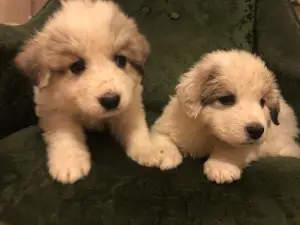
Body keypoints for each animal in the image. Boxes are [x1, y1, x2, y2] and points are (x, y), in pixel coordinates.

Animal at [14, 0, 161, 184]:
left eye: (121, 60)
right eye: (77, 66)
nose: (111, 100)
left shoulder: (130, 101)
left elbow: (134, 126)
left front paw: (147, 149)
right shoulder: (55, 110)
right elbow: (65, 135)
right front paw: (69, 164)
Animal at [152, 50, 300, 184]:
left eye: (262, 102)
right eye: (227, 99)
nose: (257, 131)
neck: (208, 132)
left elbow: (230, 147)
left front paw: (222, 165)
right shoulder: (170, 124)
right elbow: (162, 138)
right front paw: (162, 155)